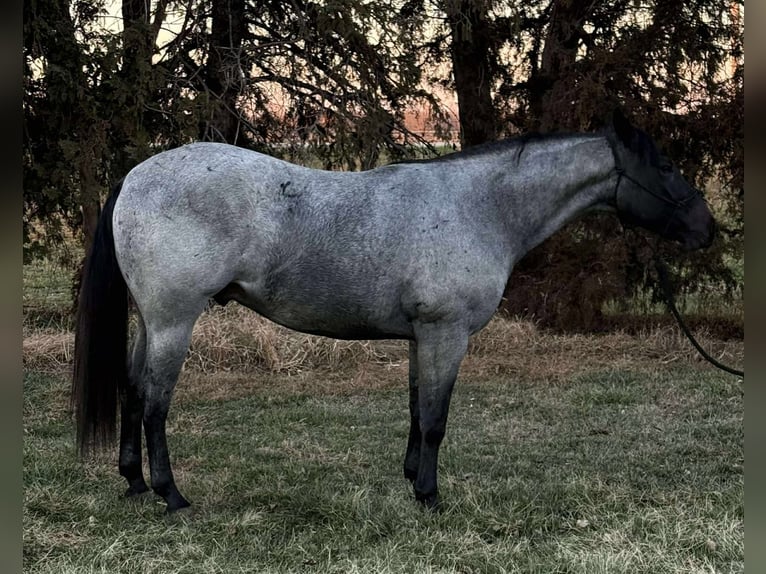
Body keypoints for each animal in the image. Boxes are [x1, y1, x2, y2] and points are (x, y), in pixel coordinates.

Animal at [72, 109, 715, 513]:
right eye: (665, 167)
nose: (706, 228)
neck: (479, 206)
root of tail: (134, 176)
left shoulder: (420, 338)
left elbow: (415, 411)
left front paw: (411, 481)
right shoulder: (446, 334)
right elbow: (435, 419)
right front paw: (430, 497)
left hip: (151, 322)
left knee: (133, 391)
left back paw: (134, 483)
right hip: (174, 322)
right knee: (156, 403)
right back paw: (171, 495)